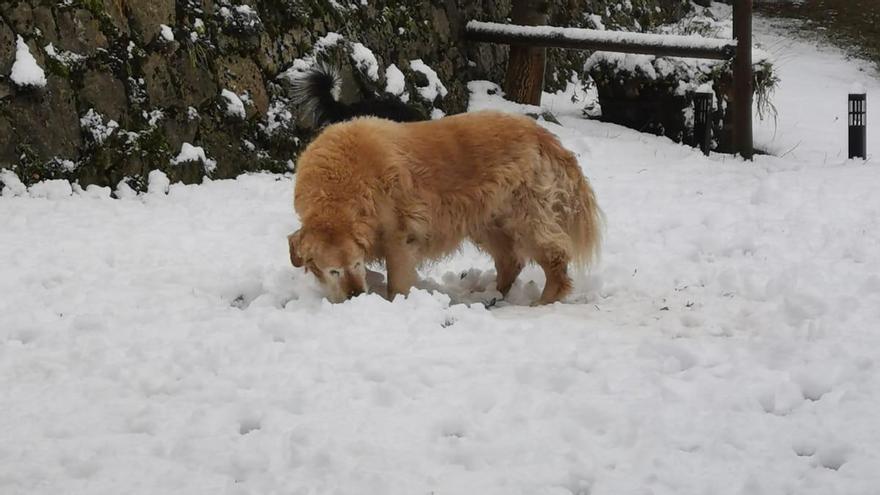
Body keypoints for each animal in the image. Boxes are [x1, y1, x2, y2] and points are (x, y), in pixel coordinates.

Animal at [288, 111, 604, 306]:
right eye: (333, 271)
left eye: (355, 265)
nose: (356, 297)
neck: (340, 183)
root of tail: (542, 134)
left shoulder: (399, 237)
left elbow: (397, 281)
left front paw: (395, 303)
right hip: (488, 220)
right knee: (510, 261)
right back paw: (488, 294)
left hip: (526, 217)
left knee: (554, 256)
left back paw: (545, 300)